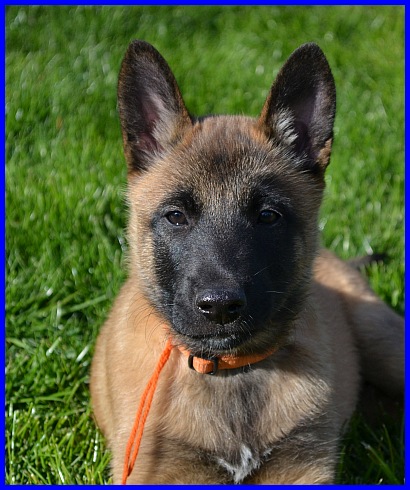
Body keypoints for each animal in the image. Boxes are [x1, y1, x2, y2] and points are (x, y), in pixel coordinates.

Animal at [90, 40, 403, 484]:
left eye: (268, 216)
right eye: (176, 216)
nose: (220, 307)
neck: (232, 372)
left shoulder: (303, 467)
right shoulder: (160, 469)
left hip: (384, 342)